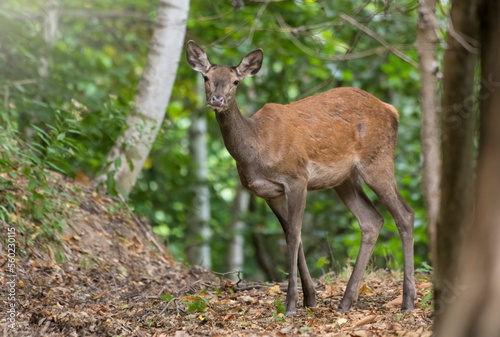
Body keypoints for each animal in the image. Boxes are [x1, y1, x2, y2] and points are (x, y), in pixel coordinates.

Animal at [186, 40, 416, 314]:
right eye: (206, 77)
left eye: (235, 81)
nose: (217, 99)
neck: (257, 149)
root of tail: (393, 111)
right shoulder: (270, 193)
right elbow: (292, 235)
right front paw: (310, 298)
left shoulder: (297, 177)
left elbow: (294, 235)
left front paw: (291, 304)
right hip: (345, 179)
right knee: (372, 220)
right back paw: (345, 302)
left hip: (376, 160)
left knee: (405, 214)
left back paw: (407, 302)